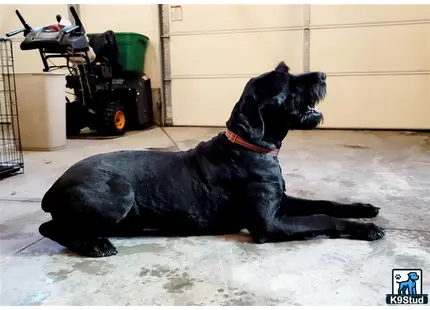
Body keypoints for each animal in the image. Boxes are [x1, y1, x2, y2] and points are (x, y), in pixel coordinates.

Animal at [38, 61, 384, 256]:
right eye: (286, 83)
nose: (323, 75)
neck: (250, 145)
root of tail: (51, 190)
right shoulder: (269, 223)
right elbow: (321, 218)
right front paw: (366, 228)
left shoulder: (281, 201)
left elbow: (324, 204)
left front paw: (363, 208)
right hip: (118, 196)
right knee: (50, 229)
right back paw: (94, 244)